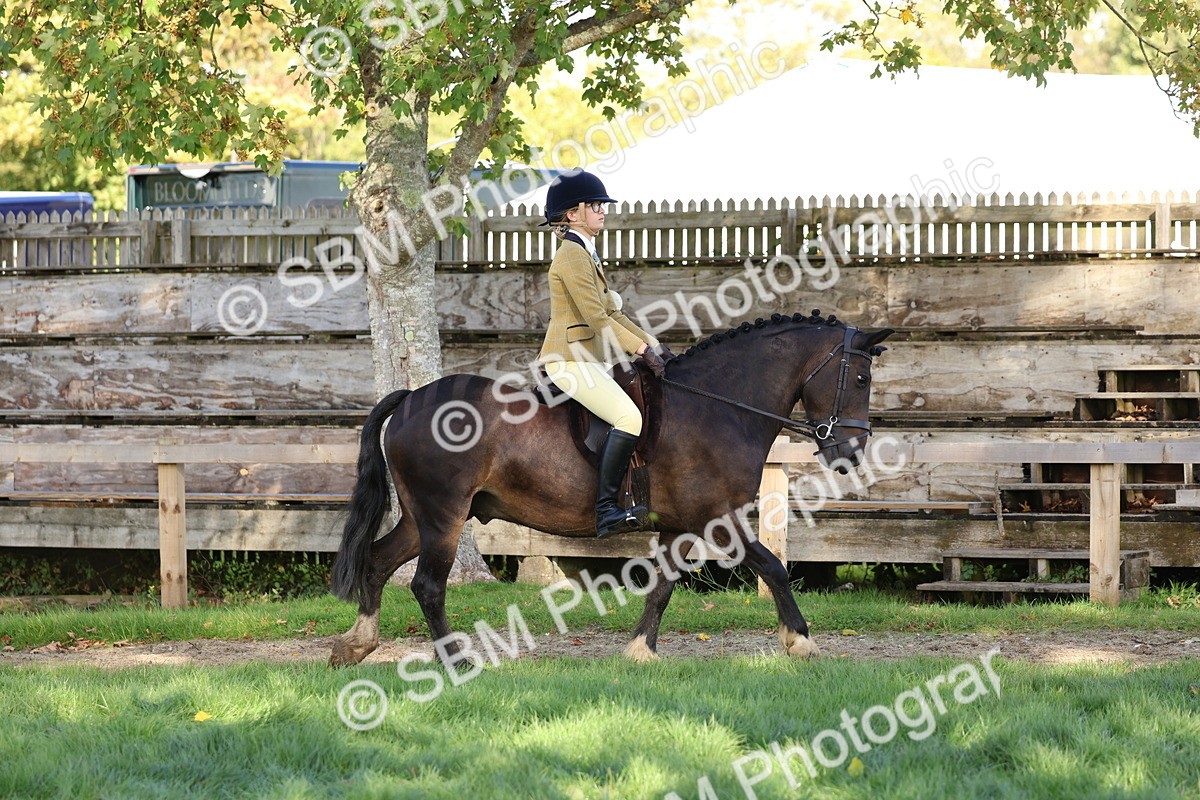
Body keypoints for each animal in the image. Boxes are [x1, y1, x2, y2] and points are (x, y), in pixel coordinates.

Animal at [328, 310, 894, 666]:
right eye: (861, 379)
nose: (850, 453)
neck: (716, 405)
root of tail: (410, 398)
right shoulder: (720, 518)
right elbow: (774, 568)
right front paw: (801, 642)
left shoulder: (679, 527)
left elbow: (663, 586)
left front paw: (640, 651)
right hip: (442, 516)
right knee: (427, 585)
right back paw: (455, 661)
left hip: (421, 518)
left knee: (378, 562)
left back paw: (354, 646)